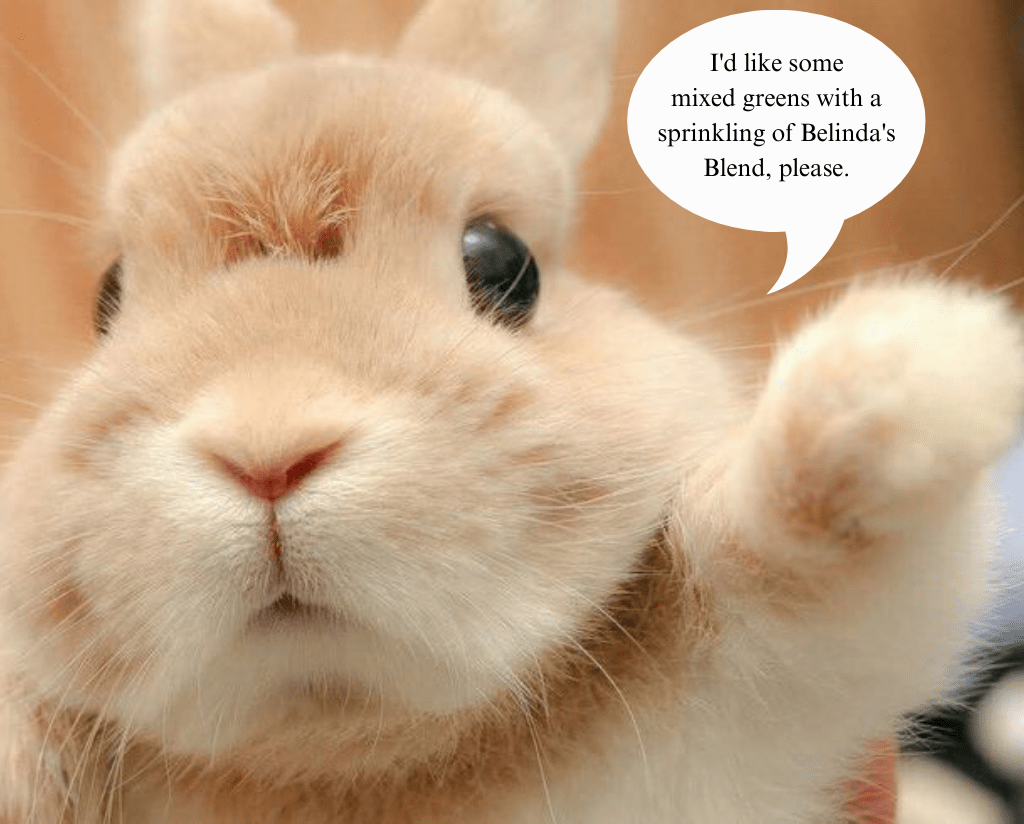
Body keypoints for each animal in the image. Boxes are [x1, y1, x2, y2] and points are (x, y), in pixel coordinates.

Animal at [0, 0, 1022, 821]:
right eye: (108, 297)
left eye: (503, 264)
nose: (266, 452)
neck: (355, 744)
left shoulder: (789, 666)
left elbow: (772, 555)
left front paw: (910, 370)